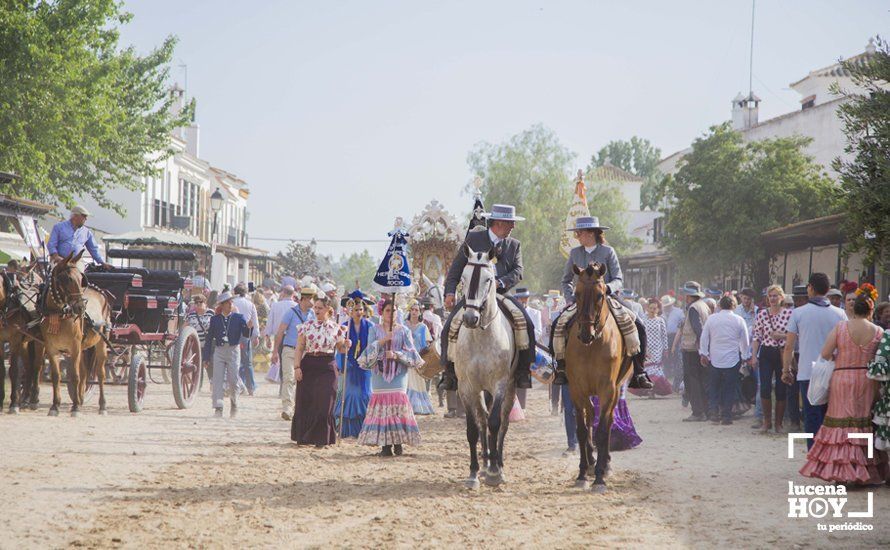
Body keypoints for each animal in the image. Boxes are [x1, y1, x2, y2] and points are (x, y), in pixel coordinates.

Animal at [40, 252, 110, 416]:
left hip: (100, 342)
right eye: (67, 279)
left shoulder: (74, 346)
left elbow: (75, 376)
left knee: (100, 373)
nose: (81, 307)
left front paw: (76, 408)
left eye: (81, 279)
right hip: (83, 348)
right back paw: (81, 399)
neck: (59, 314)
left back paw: (102, 405)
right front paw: (55, 406)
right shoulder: (51, 348)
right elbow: (56, 376)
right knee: (84, 373)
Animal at [454, 248, 516, 490]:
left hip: (510, 388)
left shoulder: (499, 385)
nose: (470, 318)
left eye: (489, 279)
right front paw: (473, 472)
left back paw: (497, 463)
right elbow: (473, 428)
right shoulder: (466, 387)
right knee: (482, 420)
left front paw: (494, 473)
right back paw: (486, 460)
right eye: (463, 278)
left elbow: (495, 423)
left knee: (503, 423)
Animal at [560, 264, 632, 492]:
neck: (592, 346)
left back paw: (604, 464)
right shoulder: (577, 389)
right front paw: (582, 474)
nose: (585, 334)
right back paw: (592, 462)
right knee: (591, 415)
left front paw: (600, 477)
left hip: (615, 390)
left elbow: (602, 430)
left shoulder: (607, 389)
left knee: (607, 422)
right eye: (576, 294)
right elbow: (582, 430)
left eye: (600, 295)